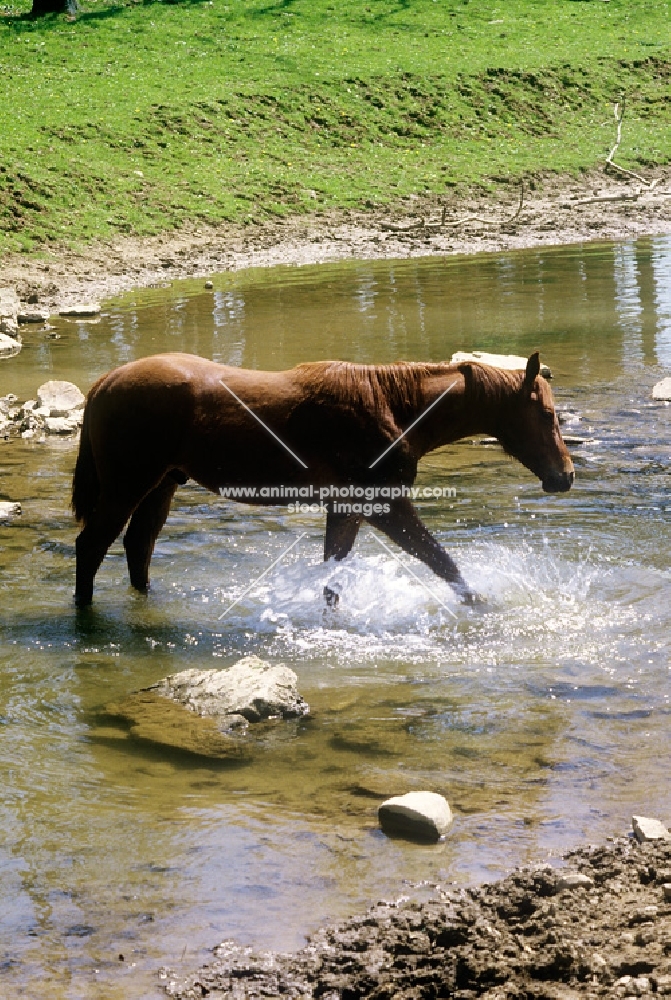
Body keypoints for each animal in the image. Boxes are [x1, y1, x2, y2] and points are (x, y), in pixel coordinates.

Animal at [73, 352, 576, 604]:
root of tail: (103, 383)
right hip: (127, 485)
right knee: (91, 546)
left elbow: (333, 579)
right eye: (546, 414)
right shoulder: (383, 506)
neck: (394, 407)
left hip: (161, 485)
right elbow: (444, 564)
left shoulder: (345, 508)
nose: (565, 476)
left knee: (138, 547)